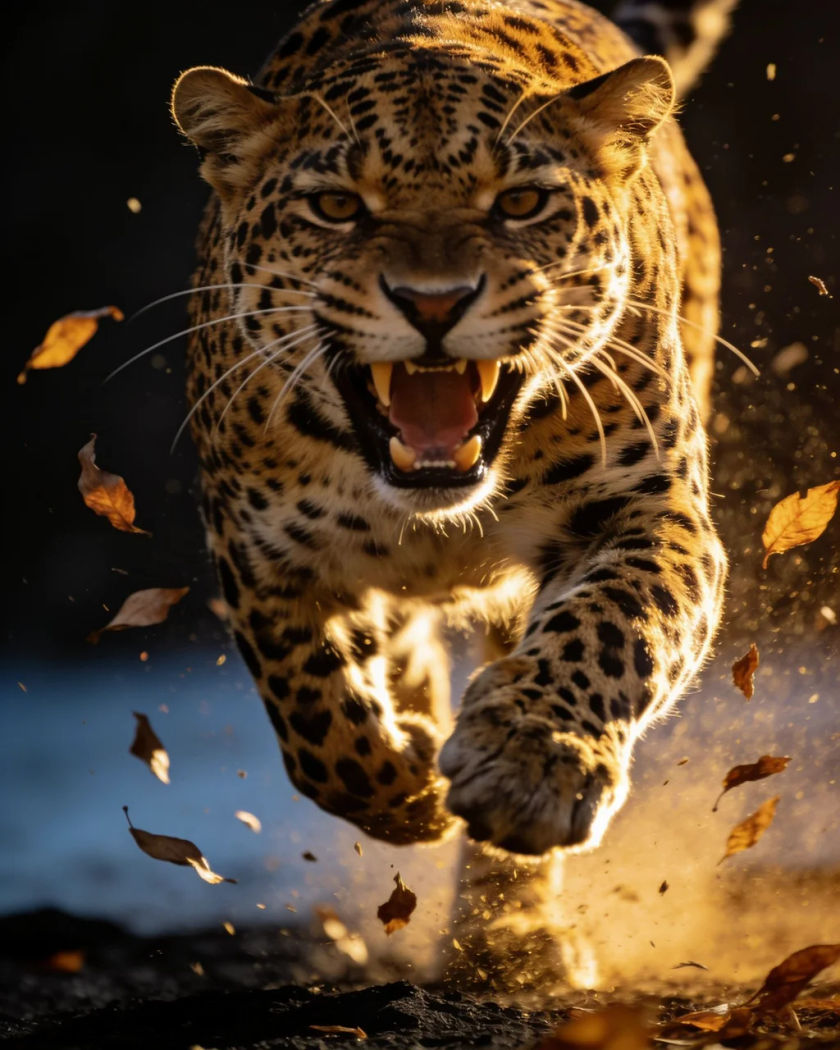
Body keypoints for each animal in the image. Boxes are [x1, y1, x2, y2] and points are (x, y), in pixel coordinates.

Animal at [171, 0, 736, 991]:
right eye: (337, 206)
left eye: (519, 202)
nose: (432, 303)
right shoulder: (257, 547)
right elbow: (313, 715)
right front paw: (405, 793)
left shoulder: (649, 507)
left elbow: (613, 628)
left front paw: (530, 767)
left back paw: (511, 936)